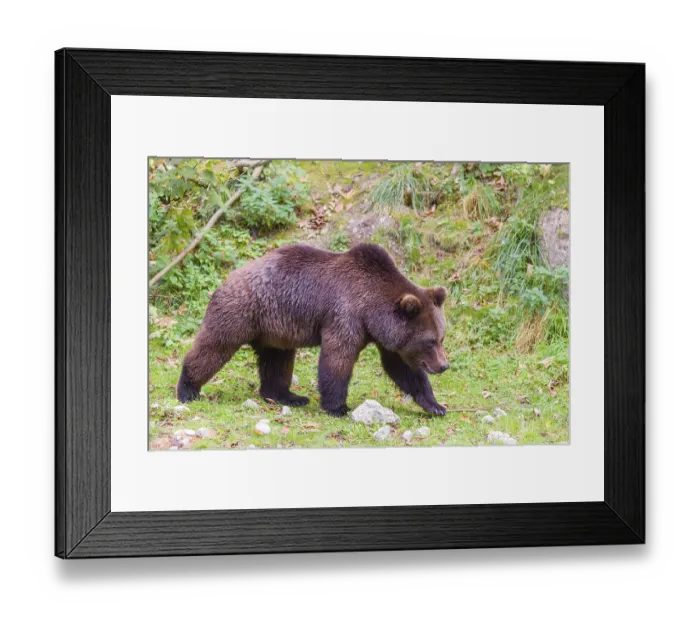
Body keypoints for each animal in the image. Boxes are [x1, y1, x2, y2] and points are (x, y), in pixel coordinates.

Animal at [176, 243, 450, 417]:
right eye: (430, 341)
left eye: (441, 337)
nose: (443, 366)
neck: (370, 309)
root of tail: (227, 276)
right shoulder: (345, 315)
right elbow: (337, 358)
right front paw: (338, 407)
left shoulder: (385, 336)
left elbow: (402, 368)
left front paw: (436, 405)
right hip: (242, 311)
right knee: (214, 346)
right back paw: (188, 389)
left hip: (275, 329)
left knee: (276, 361)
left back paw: (288, 396)